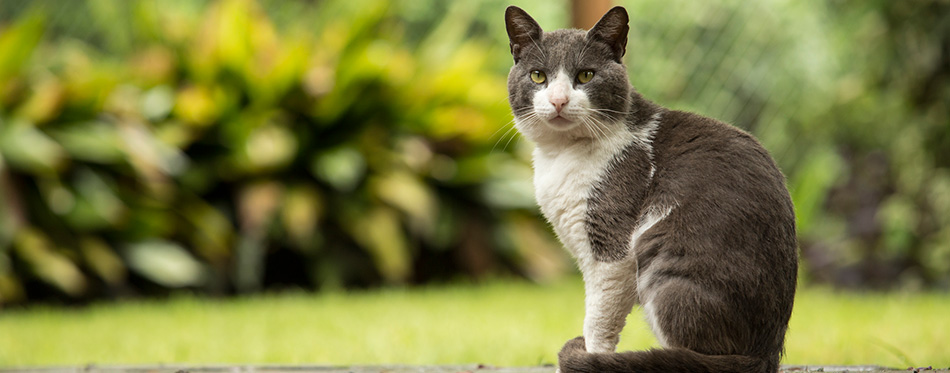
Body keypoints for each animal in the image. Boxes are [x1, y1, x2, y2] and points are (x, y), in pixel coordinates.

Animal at [506, 5, 804, 372]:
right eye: (538, 76)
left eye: (586, 75)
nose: (559, 101)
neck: (561, 155)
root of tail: (765, 353)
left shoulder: (612, 249)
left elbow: (598, 319)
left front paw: (592, 355)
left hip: (662, 260)